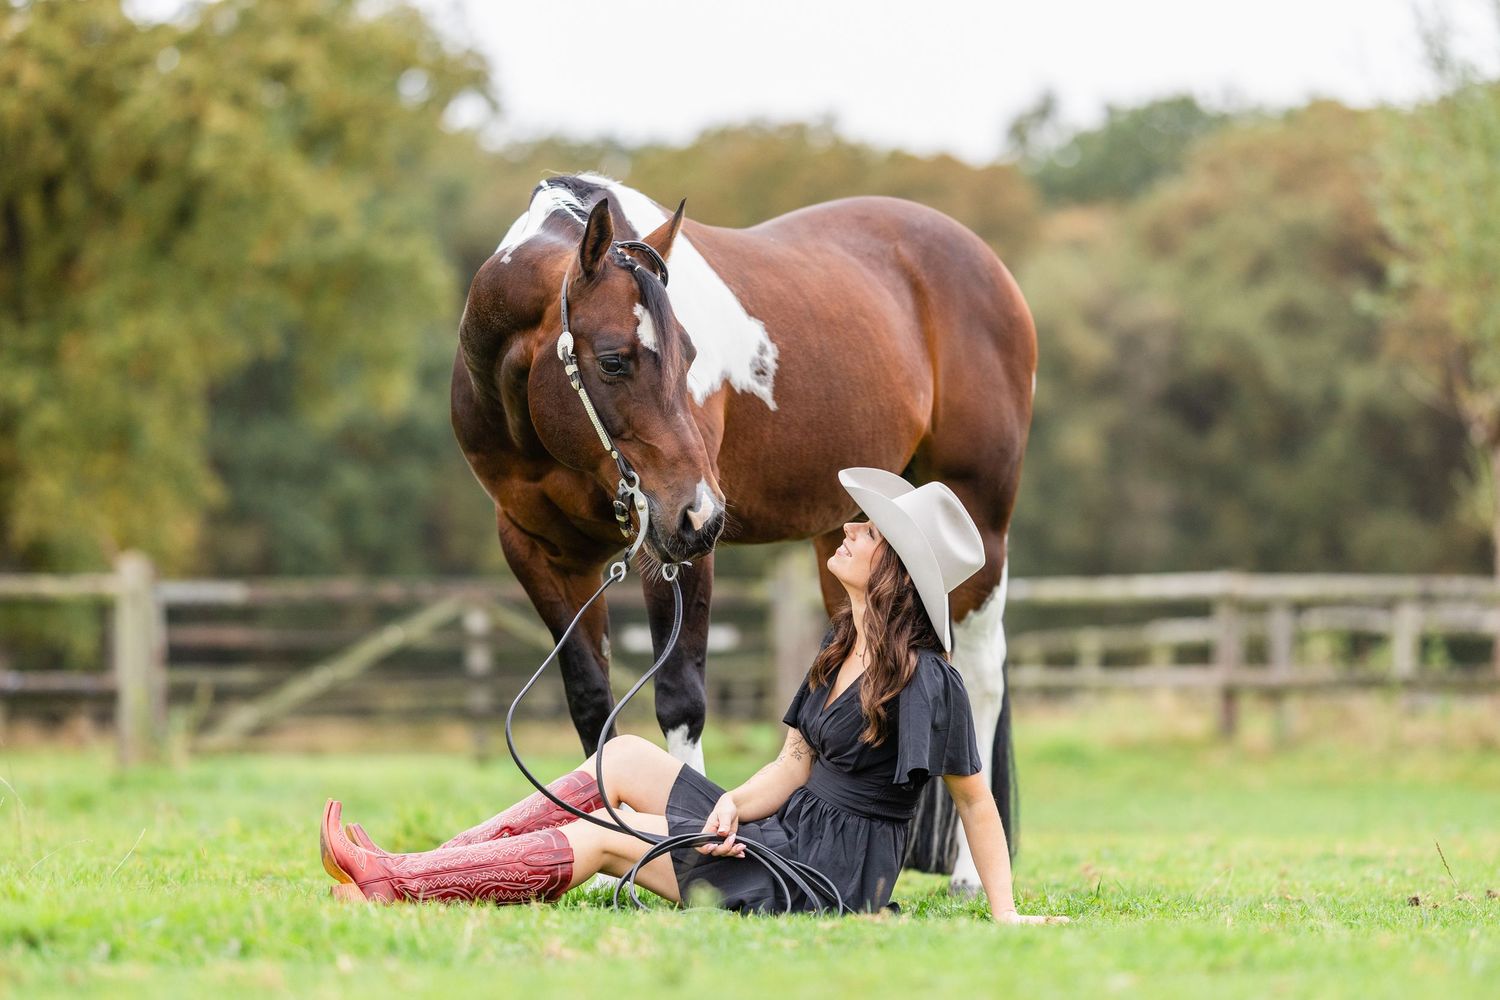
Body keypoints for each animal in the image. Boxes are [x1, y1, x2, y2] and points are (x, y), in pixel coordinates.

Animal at [450, 173, 1036, 888]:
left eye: (690, 356)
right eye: (613, 361)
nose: (700, 513)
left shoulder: (672, 553)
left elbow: (680, 698)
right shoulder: (541, 554)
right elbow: (592, 702)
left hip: (979, 518)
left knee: (979, 676)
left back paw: (969, 874)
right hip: (847, 532)